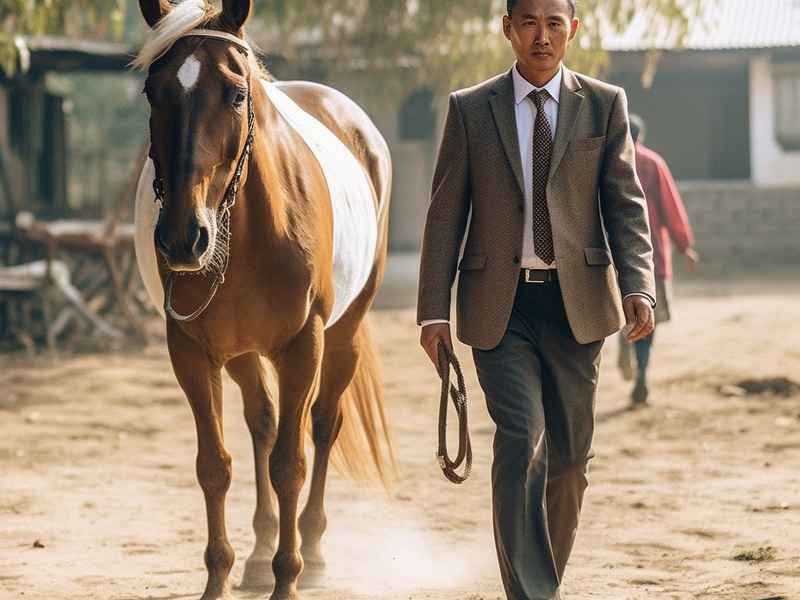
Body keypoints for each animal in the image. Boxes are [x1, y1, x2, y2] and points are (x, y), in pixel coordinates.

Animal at [131, 1, 394, 598]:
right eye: (154, 93)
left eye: (235, 94)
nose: (182, 238)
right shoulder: (191, 352)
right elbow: (215, 466)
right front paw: (219, 577)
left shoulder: (302, 346)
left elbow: (290, 465)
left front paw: (288, 578)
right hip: (244, 353)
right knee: (264, 424)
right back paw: (258, 554)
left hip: (343, 334)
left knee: (321, 423)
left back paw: (313, 551)